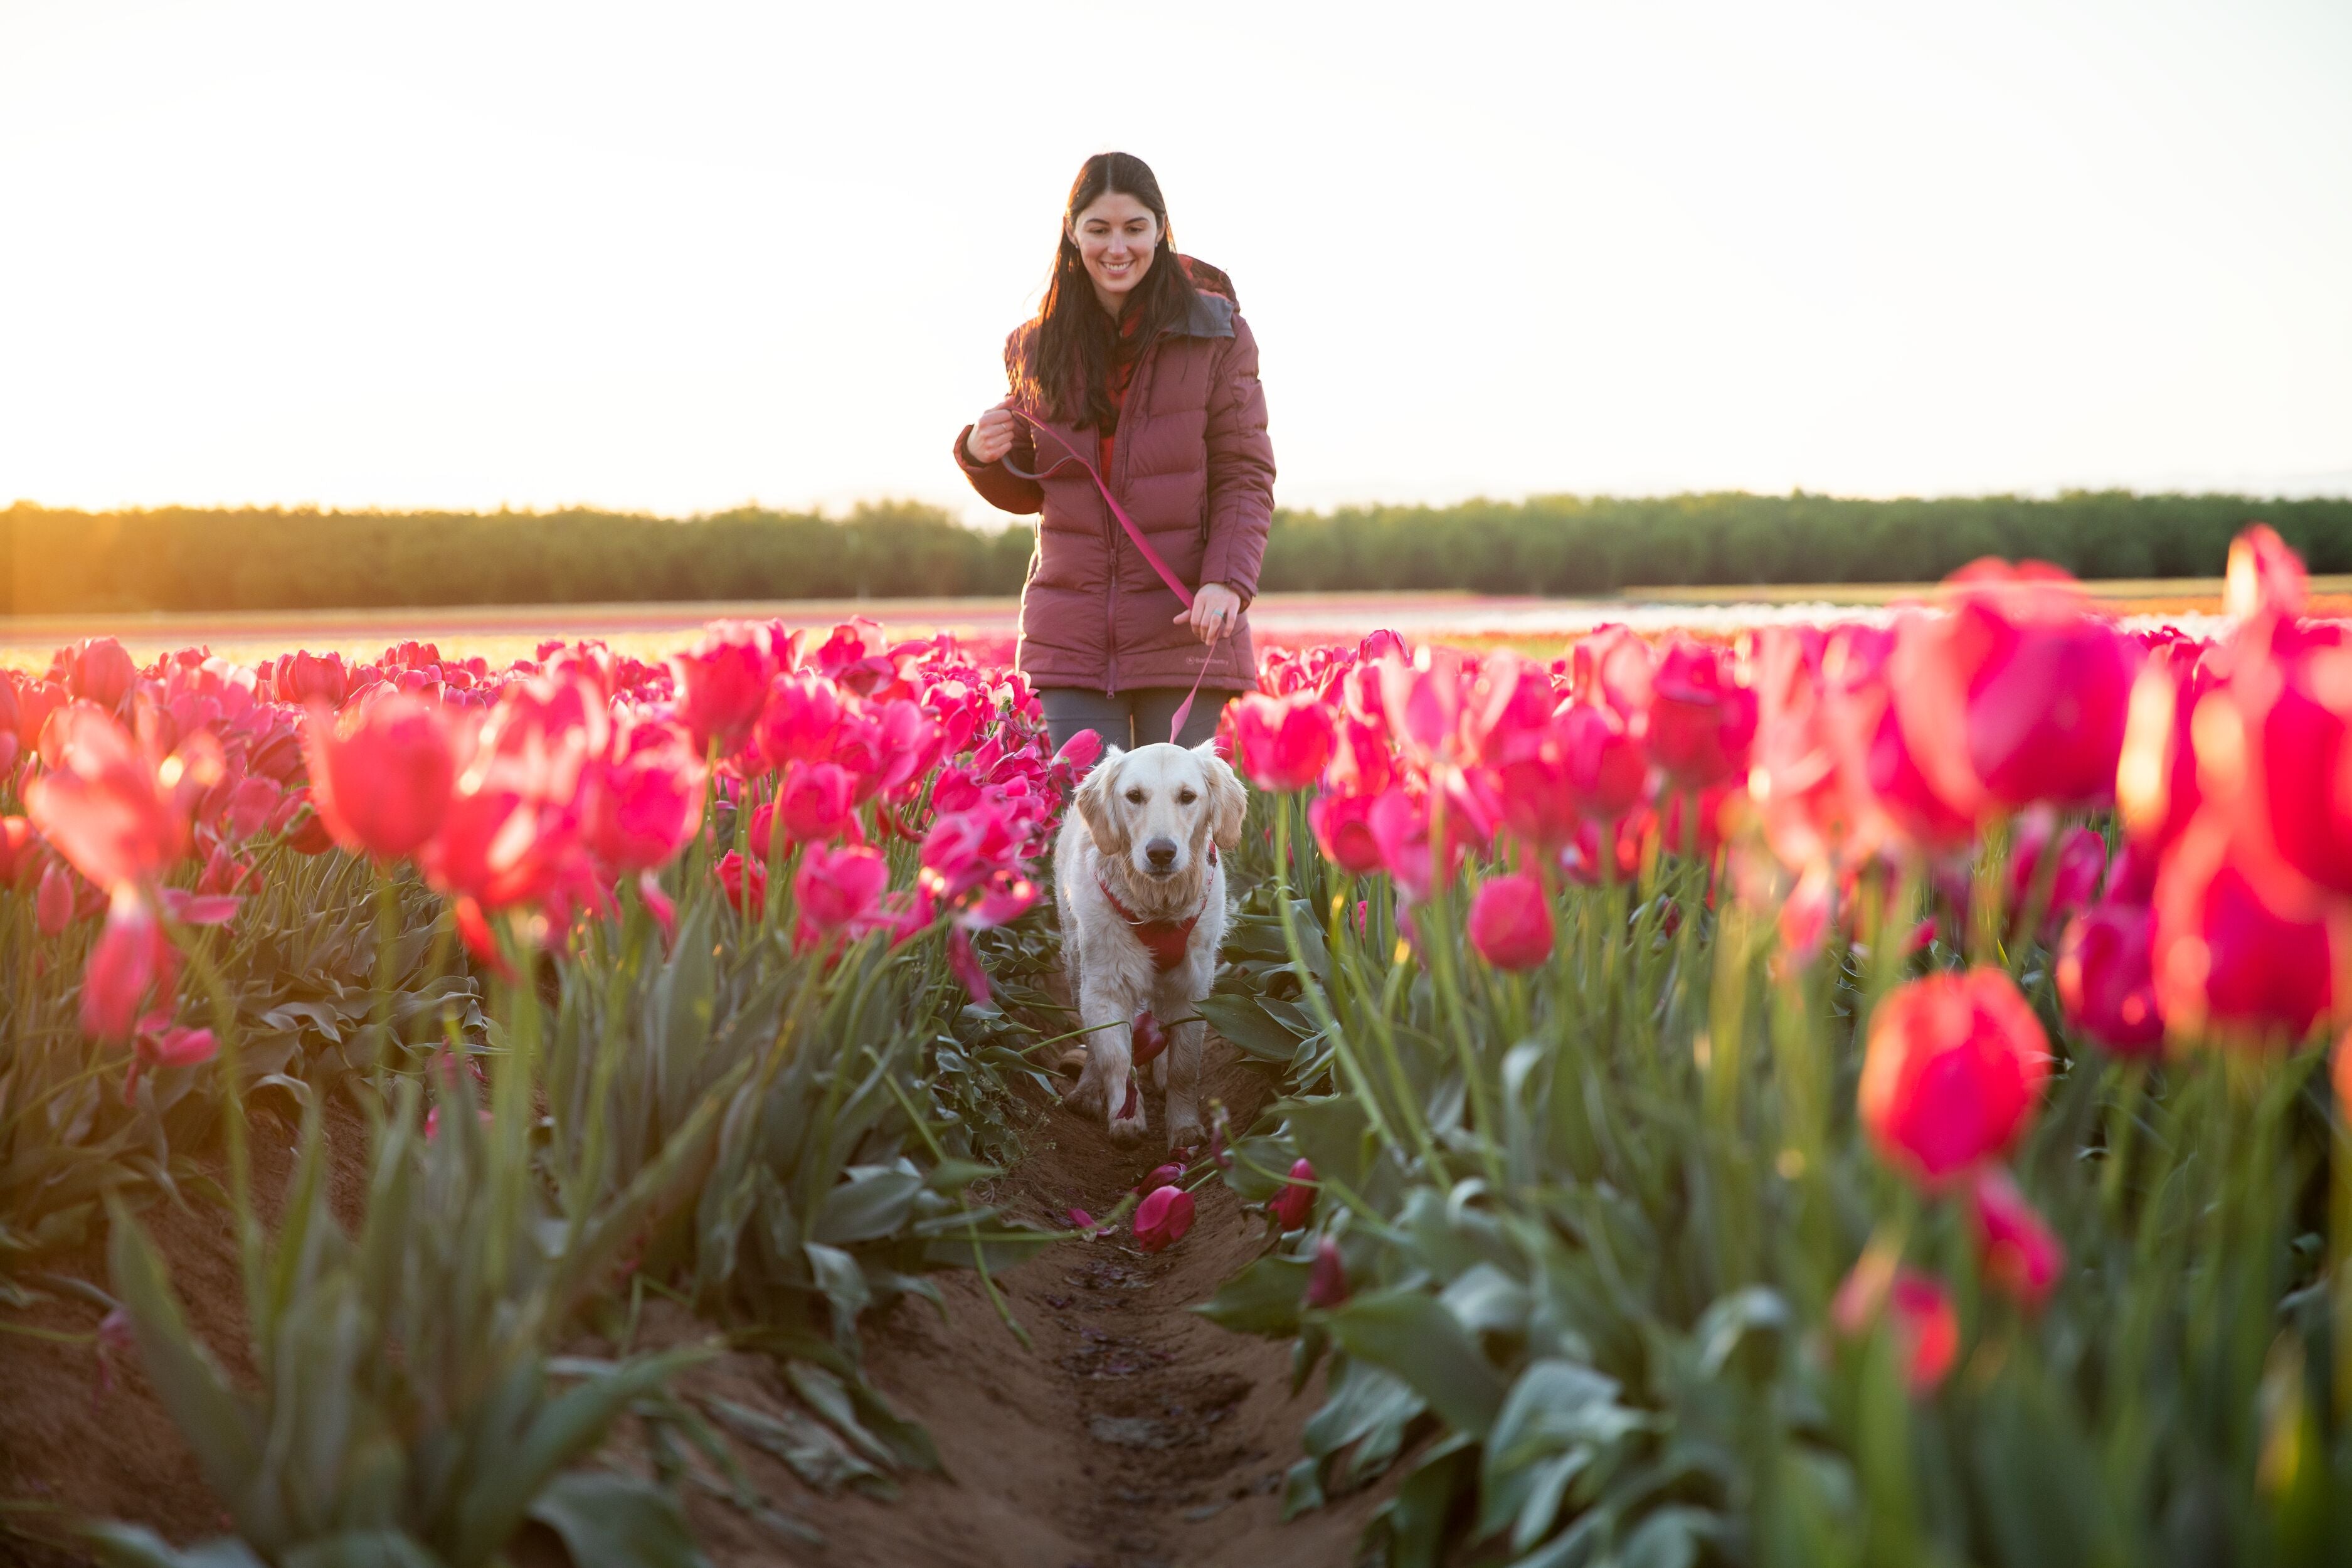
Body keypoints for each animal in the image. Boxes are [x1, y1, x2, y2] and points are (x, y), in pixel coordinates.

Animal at [1058, 743, 1251, 1147]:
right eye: (1134, 796)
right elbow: (1115, 1057)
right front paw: (1126, 1117)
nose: (1161, 853)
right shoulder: (1104, 986)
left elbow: (1185, 1065)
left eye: (1187, 797)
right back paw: (1086, 1092)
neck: (1158, 906)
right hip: (1075, 964)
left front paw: (1185, 1127)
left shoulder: (1193, 987)